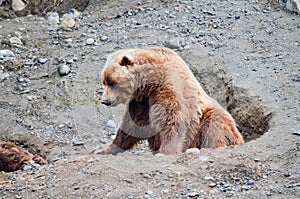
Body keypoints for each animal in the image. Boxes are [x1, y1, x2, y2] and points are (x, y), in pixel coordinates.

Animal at [93, 47, 244, 155]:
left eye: (112, 82)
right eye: (104, 81)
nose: (105, 101)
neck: (147, 83)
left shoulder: (168, 87)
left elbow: (172, 119)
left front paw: (165, 151)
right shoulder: (141, 102)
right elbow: (131, 125)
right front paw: (102, 148)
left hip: (208, 119)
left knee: (215, 125)